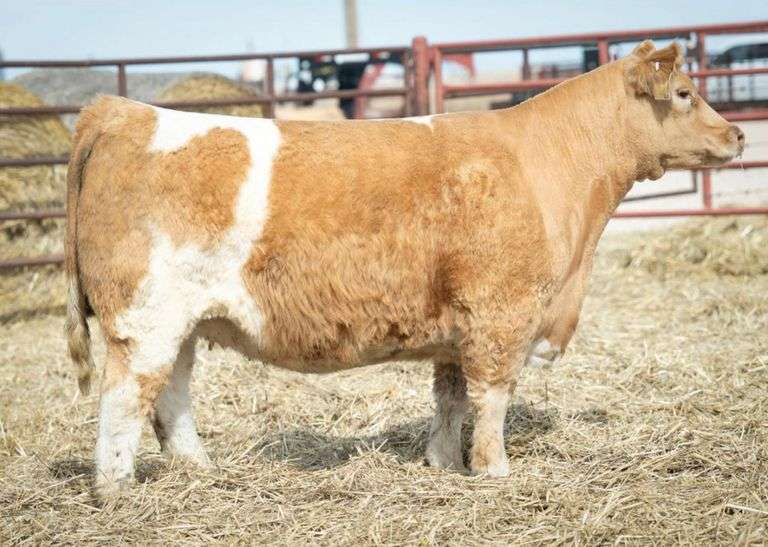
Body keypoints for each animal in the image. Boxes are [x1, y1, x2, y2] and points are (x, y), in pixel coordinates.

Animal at [65, 41, 744, 499]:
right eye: (685, 93)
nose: (738, 135)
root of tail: (121, 111)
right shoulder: (501, 314)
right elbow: (492, 396)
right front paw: (494, 470)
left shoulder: (457, 325)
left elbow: (450, 398)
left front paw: (443, 463)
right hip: (146, 316)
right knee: (124, 398)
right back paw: (115, 491)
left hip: (178, 322)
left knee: (171, 394)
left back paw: (199, 470)